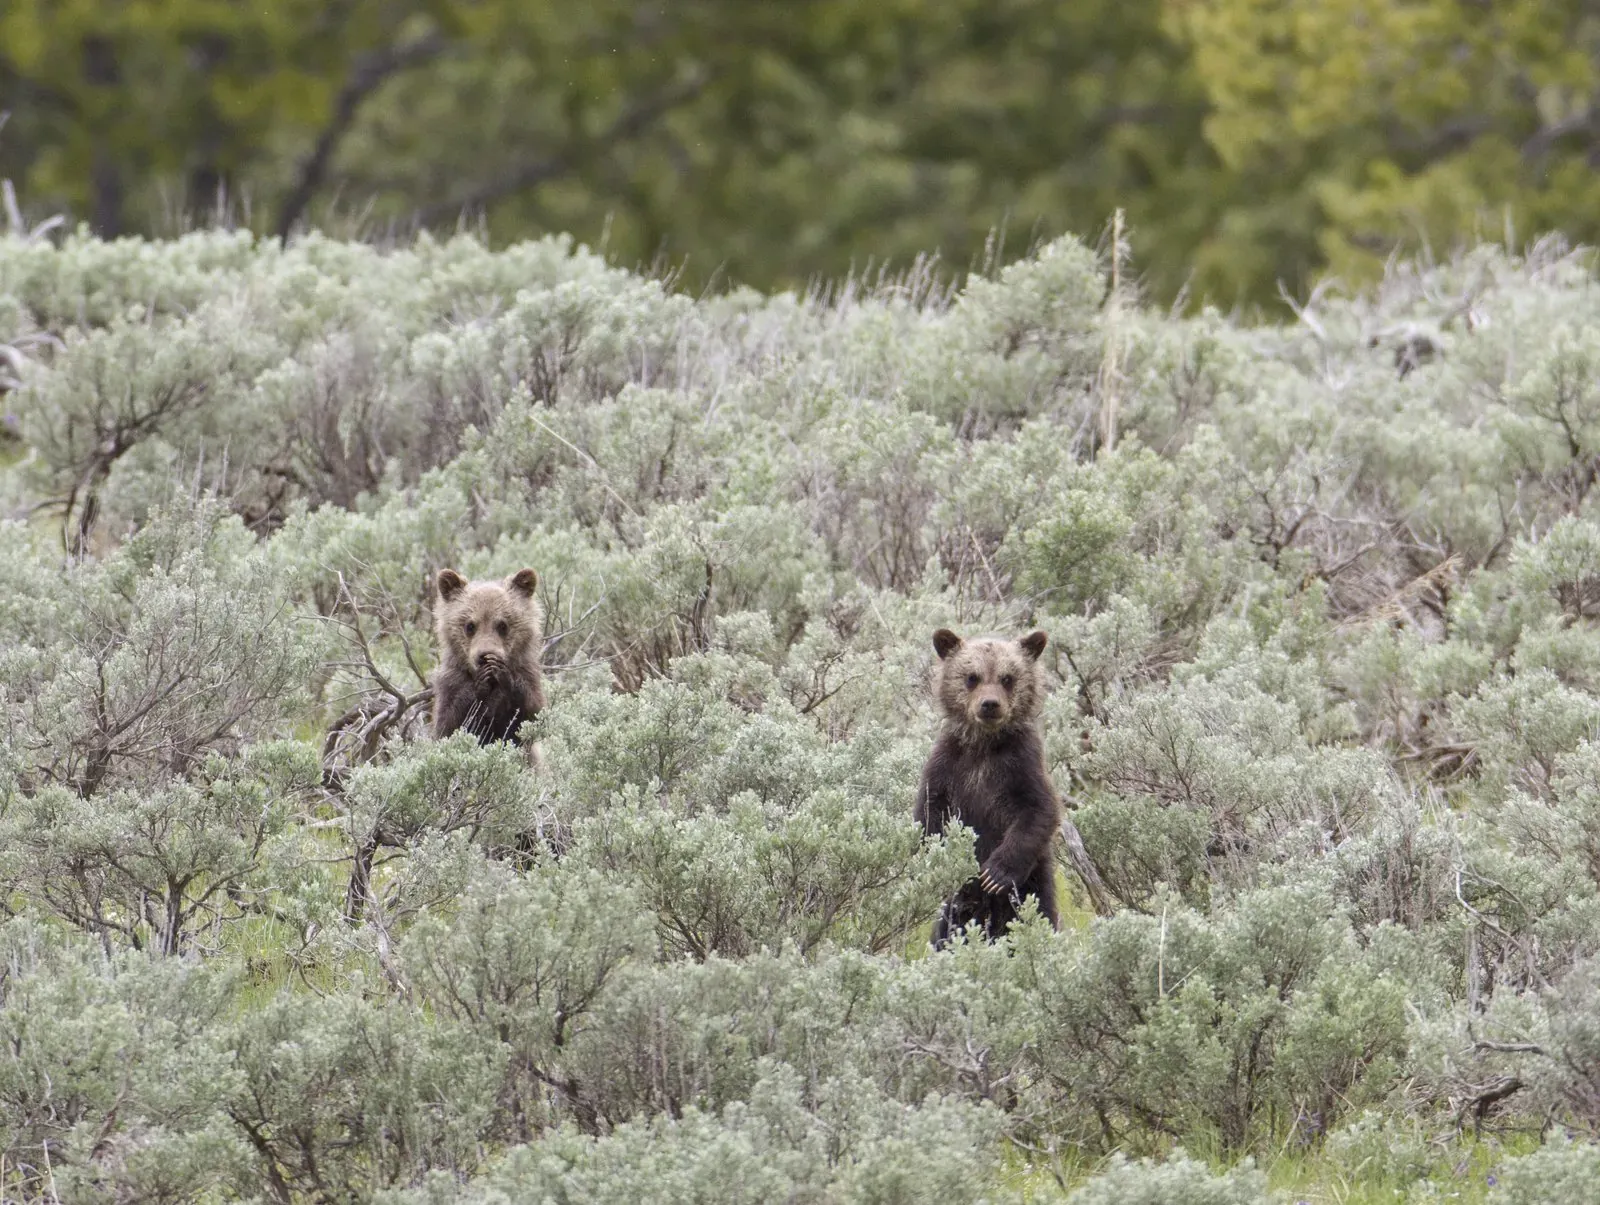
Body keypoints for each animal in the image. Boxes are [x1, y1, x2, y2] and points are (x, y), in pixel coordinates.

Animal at [431, 567, 546, 752]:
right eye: (470, 625)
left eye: (502, 625)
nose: (485, 656)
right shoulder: (450, 682)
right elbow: (447, 724)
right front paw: (480, 683)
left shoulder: (529, 675)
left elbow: (533, 715)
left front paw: (504, 675)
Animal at [913, 627, 1062, 946]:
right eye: (972, 677)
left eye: (1007, 678)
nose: (990, 704)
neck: (984, 746)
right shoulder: (948, 765)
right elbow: (930, 812)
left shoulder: (1021, 765)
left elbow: (1039, 811)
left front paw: (995, 874)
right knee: (948, 927)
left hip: (1035, 883)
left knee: (1040, 911)